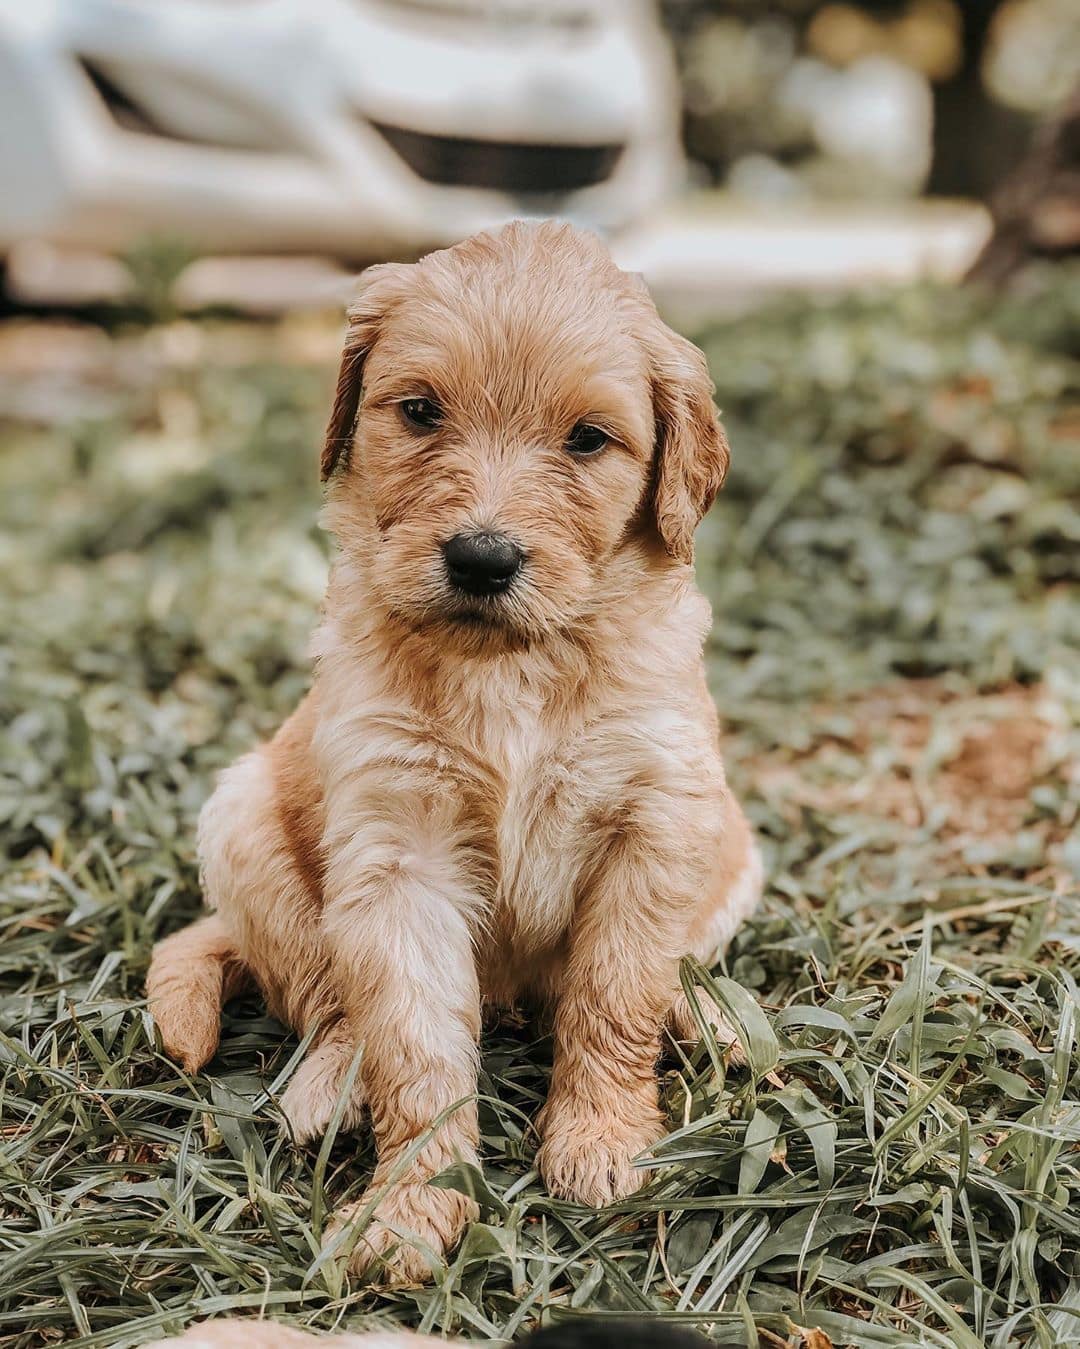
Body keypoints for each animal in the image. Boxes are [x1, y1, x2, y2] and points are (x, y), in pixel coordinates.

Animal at [147, 221, 760, 1284]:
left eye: (588, 439)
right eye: (421, 412)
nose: (481, 558)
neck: (512, 666)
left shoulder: (656, 819)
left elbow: (616, 992)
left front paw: (603, 1138)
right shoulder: (399, 856)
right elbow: (414, 1043)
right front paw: (412, 1203)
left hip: (735, 848)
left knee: (663, 970)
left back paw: (710, 1017)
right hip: (240, 821)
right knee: (325, 997)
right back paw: (326, 1087)